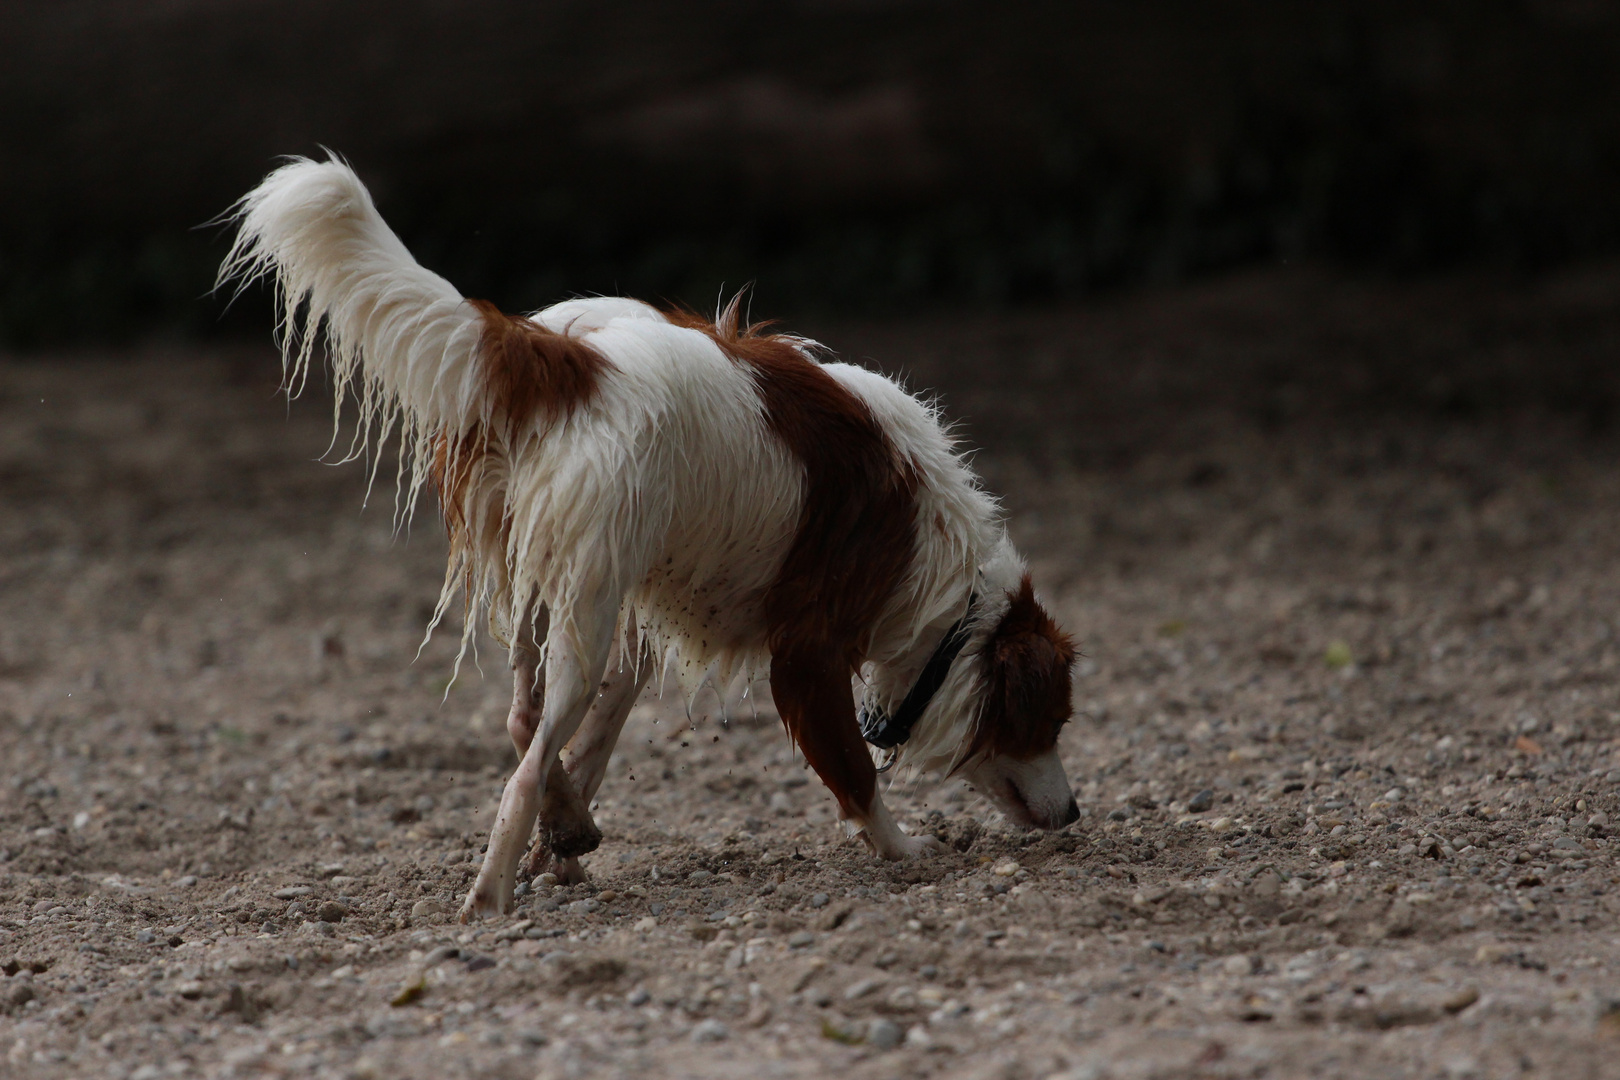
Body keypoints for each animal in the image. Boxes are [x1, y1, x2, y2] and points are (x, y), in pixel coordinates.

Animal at [215, 156, 1075, 926]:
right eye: (1051, 723)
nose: (1073, 817)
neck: (946, 581)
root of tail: (565, 358)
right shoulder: (804, 654)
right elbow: (856, 775)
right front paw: (904, 850)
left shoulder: (648, 614)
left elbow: (596, 739)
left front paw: (562, 846)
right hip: (587, 604)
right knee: (524, 765)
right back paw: (489, 898)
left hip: (556, 583)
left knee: (523, 721)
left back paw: (560, 831)